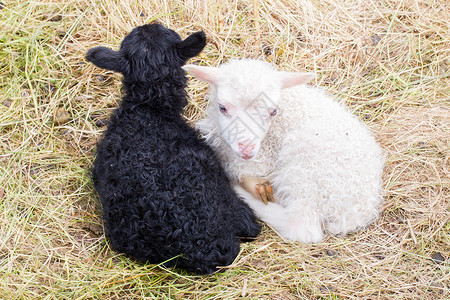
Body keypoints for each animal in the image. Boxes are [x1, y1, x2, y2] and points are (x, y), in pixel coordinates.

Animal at [183, 59, 384, 244]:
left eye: (273, 111)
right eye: (222, 107)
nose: (247, 149)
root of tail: (355, 214)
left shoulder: (259, 160)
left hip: (306, 169)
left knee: (301, 224)